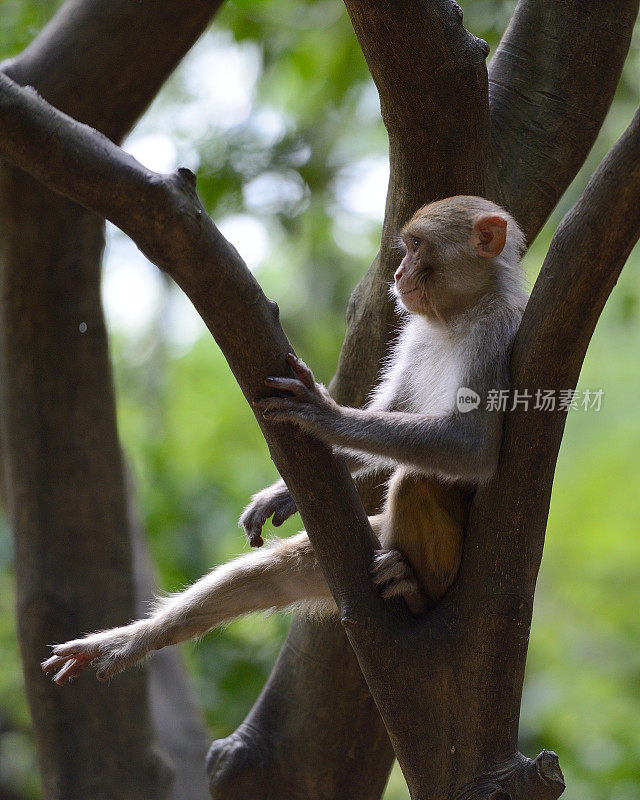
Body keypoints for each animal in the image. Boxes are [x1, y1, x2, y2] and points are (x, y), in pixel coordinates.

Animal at [42, 197, 528, 684]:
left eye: (417, 247)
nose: (397, 274)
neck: (456, 315)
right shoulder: (415, 334)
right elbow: (395, 410)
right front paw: (279, 495)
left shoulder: (495, 332)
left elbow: (473, 447)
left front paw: (326, 416)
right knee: (277, 572)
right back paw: (136, 638)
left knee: (416, 480)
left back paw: (418, 593)